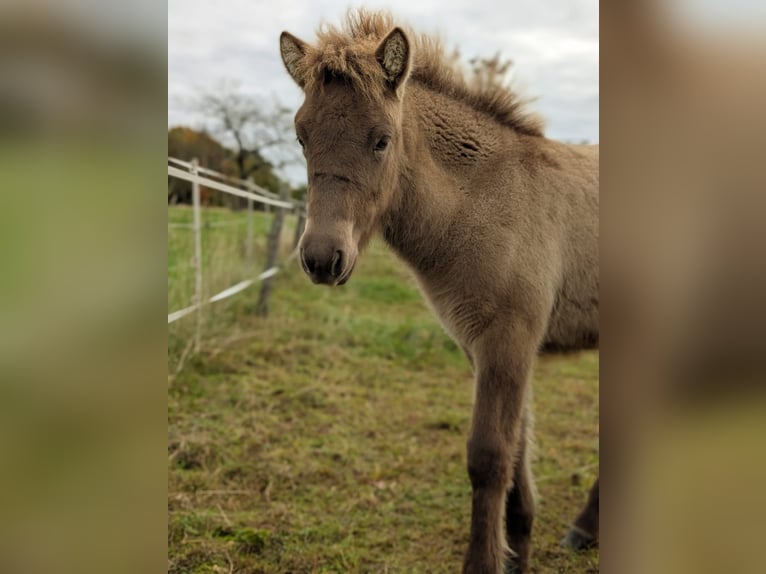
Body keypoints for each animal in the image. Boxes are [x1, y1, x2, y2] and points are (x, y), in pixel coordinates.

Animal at [279, 9, 598, 573]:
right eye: (301, 137)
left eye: (382, 139)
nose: (320, 258)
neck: (486, 201)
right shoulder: (486, 348)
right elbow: (516, 455)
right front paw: (517, 553)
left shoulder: (509, 340)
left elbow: (489, 456)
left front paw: (485, 562)